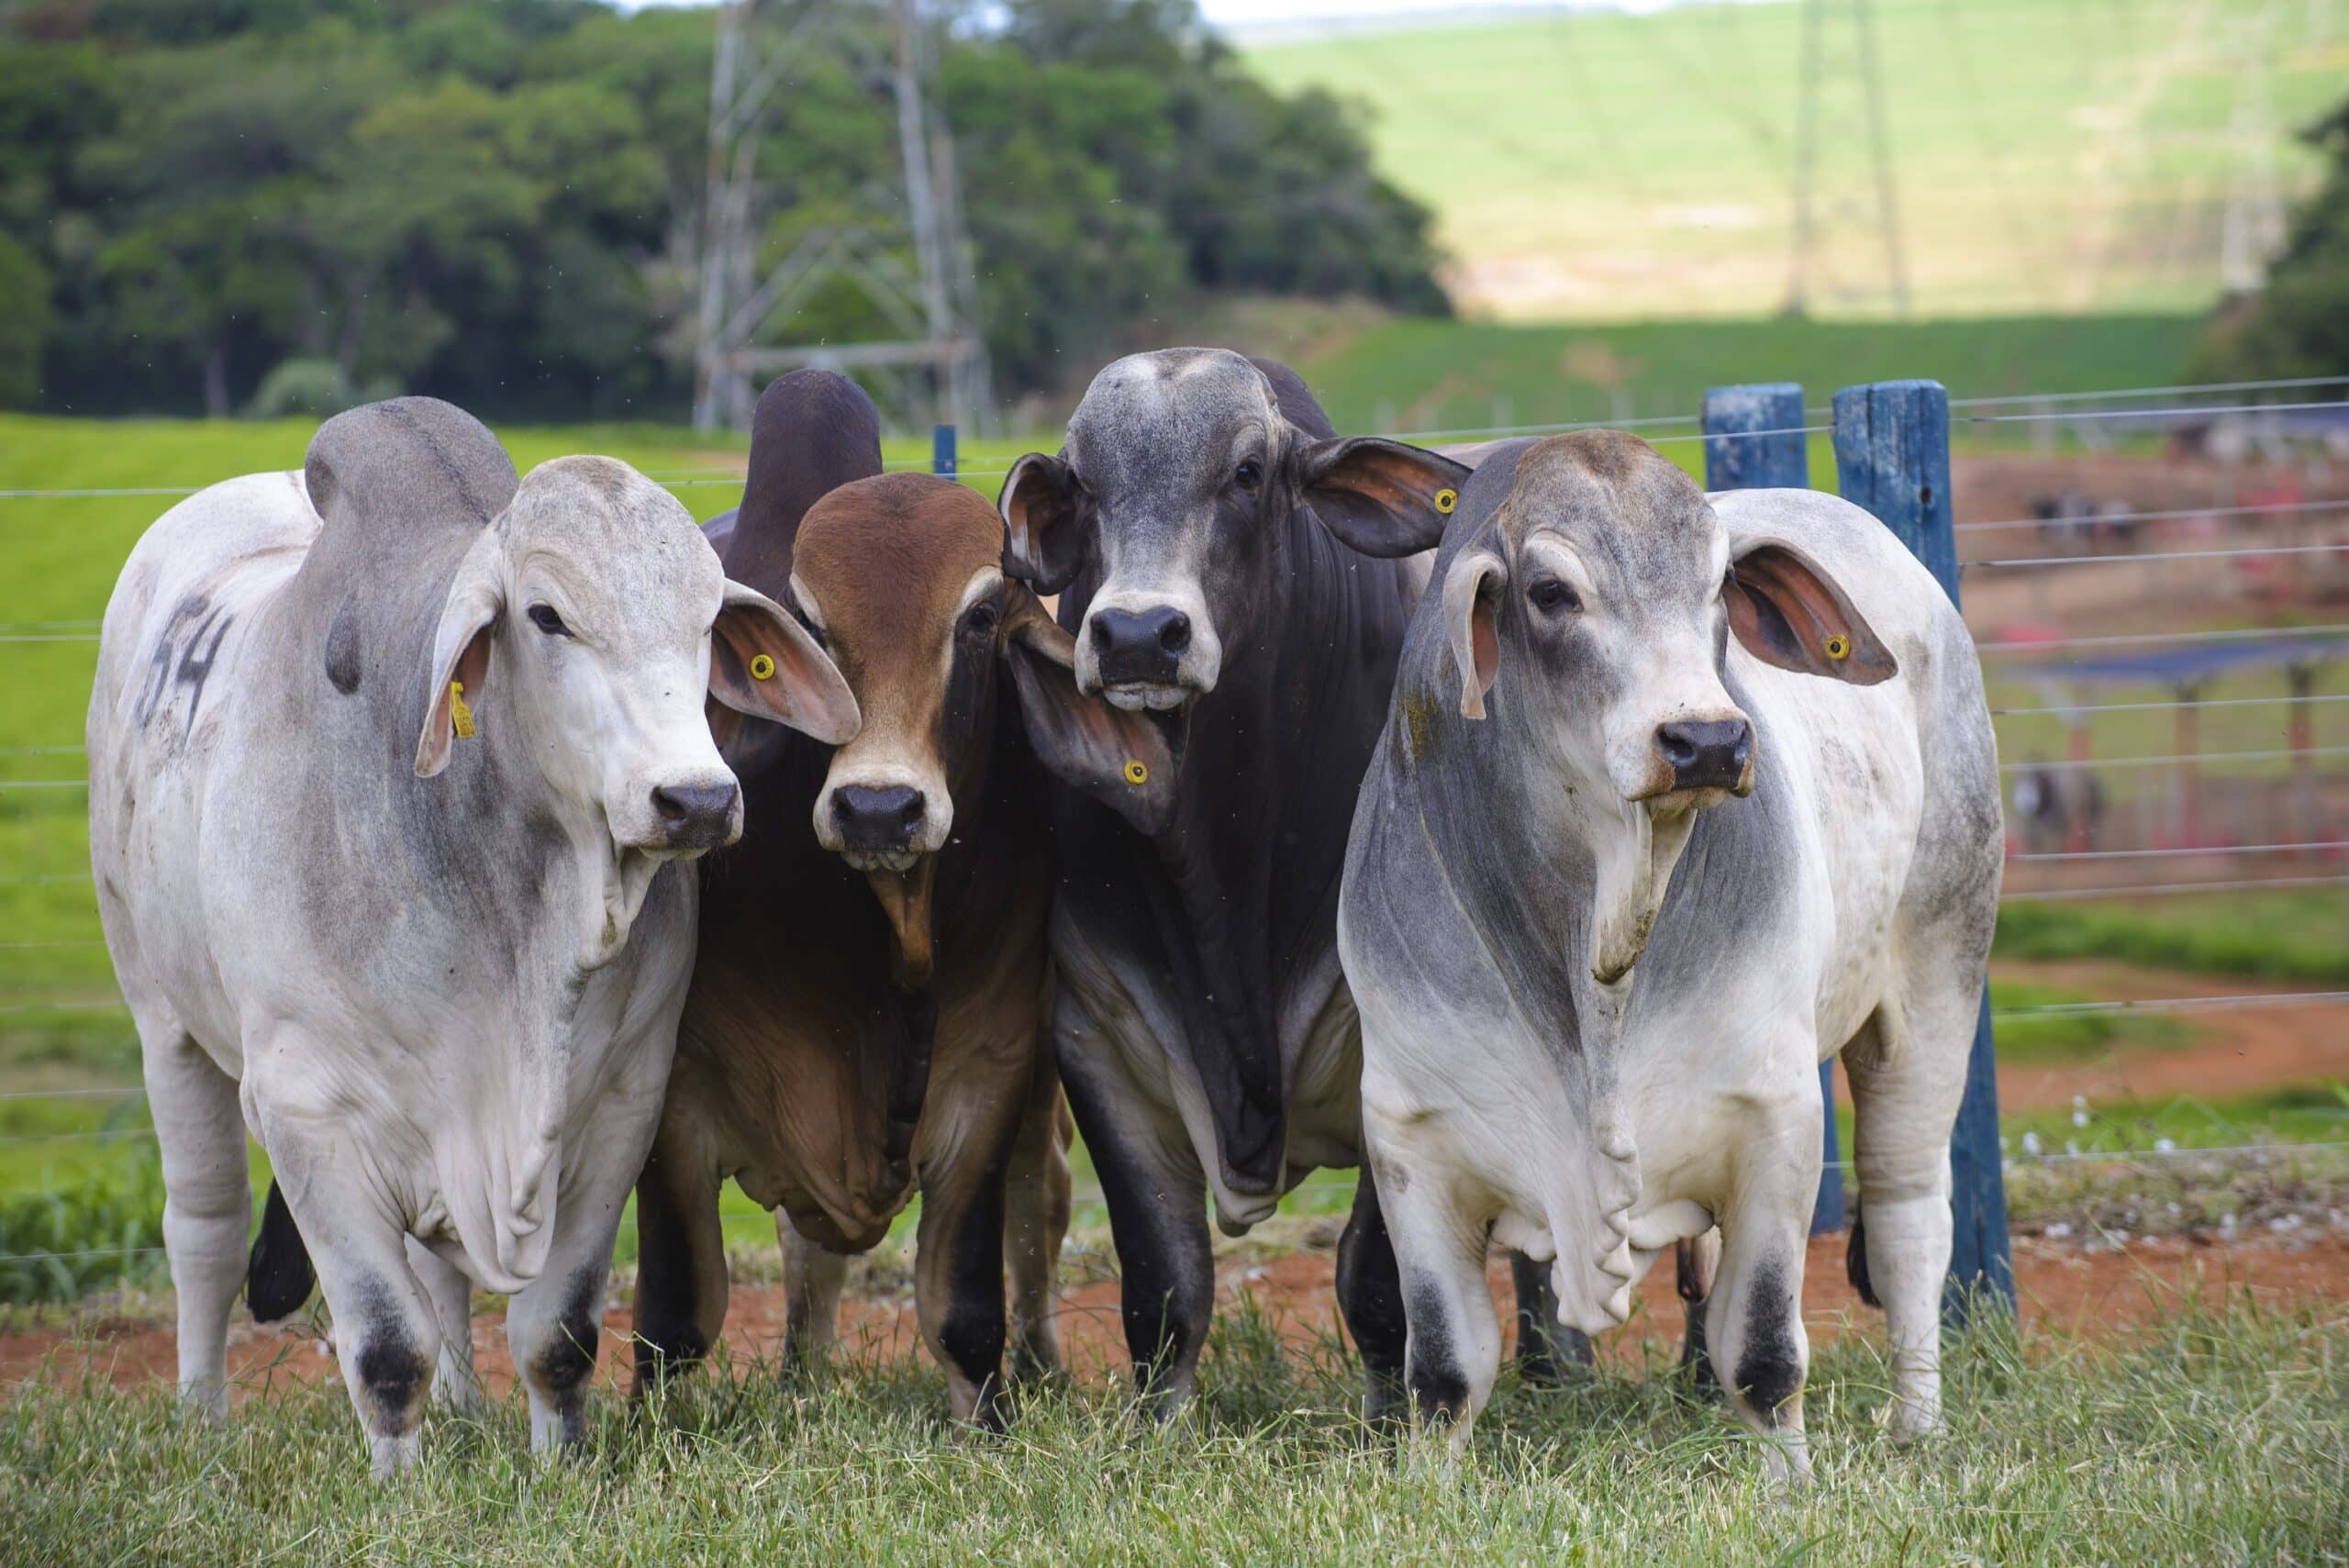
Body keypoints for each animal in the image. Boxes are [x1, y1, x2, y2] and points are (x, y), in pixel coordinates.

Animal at [94, 394, 864, 1473]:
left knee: (441, 1272)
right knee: (201, 1231)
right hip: (161, 1018)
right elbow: (385, 1348)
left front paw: (560, 1466)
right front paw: (398, 1487)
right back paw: (201, 1417)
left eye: (710, 618)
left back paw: (464, 1411)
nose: (698, 798)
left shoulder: (620, 1102)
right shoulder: (307, 1115)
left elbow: (557, 1332)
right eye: (546, 616)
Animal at [996, 350, 1484, 1398]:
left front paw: (1391, 1419)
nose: (1140, 635)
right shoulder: (1096, 1034)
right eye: (1082, 482)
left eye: (1248, 473)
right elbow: (1166, 1289)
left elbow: (1378, 1285)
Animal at [1343, 429, 2001, 1483]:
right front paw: (1425, 1488)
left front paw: (1792, 1488)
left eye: (1720, 585)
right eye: (1550, 592)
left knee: (1909, 1214)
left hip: (1938, 978)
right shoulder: (1410, 1134)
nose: (1706, 739)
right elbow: (1444, 1368)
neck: (1597, 948)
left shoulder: (1775, 1118)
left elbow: (1765, 1354)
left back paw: (1918, 1426)